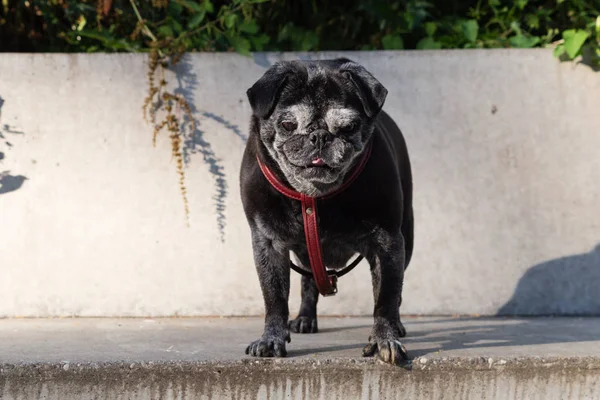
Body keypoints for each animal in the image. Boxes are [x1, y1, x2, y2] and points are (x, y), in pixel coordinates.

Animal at [239, 57, 412, 366]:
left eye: (348, 127)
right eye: (287, 124)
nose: (319, 136)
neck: (314, 195)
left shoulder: (389, 243)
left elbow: (386, 298)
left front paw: (385, 338)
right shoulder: (267, 243)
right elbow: (274, 297)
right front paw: (271, 338)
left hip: (408, 236)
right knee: (309, 280)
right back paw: (305, 318)